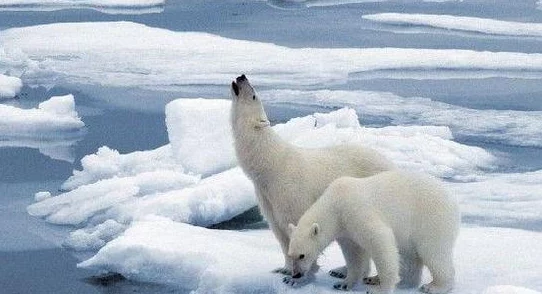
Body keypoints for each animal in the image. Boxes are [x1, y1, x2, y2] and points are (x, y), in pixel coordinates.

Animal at [230, 75, 396, 276]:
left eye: (254, 95)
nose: (242, 76)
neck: (271, 165)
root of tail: (392, 164)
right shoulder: (266, 197)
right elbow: (280, 232)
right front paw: (283, 268)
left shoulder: (290, 193)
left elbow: (298, 226)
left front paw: (306, 268)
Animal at [286, 171, 462, 292]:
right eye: (290, 255)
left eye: (302, 255)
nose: (296, 274)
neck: (334, 204)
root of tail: (452, 200)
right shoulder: (345, 229)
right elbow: (354, 253)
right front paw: (344, 283)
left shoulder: (355, 211)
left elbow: (380, 240)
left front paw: (381, 289)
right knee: (408, 256)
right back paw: (384, 280)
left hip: (430, 220)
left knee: (433, 252)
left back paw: (434, 286)